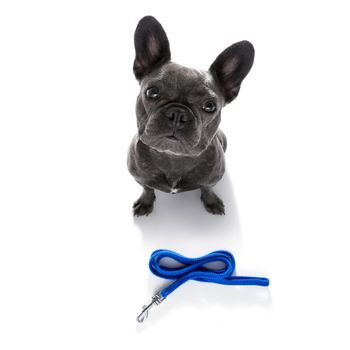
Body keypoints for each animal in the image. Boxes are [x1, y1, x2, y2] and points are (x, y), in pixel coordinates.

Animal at [129, 16, 254, 216]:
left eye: (210, 106)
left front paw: (211, 202)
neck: (174, 158)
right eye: (152, 92)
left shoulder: (212, 180)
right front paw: (146, 202)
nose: (178, 113)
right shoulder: (139, 178)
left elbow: (207, 188)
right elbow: (147, 188)